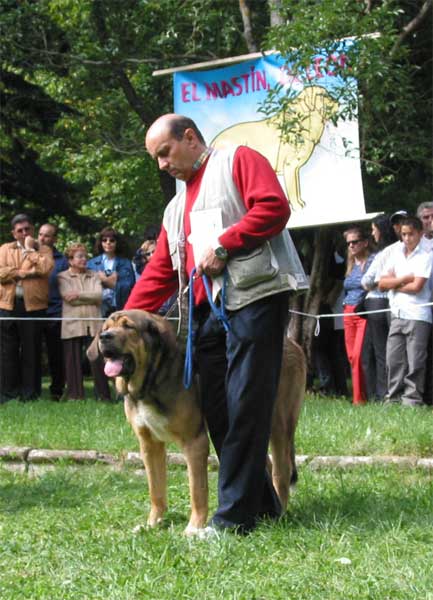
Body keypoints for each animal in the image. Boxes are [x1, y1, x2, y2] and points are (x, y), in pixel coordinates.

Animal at [93, 310, 306, 536]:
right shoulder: (149, 444)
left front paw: (194, 527)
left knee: (281, 471)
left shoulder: (194, 442)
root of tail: (293, 343)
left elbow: (197, 490)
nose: (104, 337)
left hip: (278, 424)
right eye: (106, 328)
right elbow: (156, 490)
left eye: (128, 327)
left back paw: (280, 511)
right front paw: (152, 524)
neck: (152, 381)